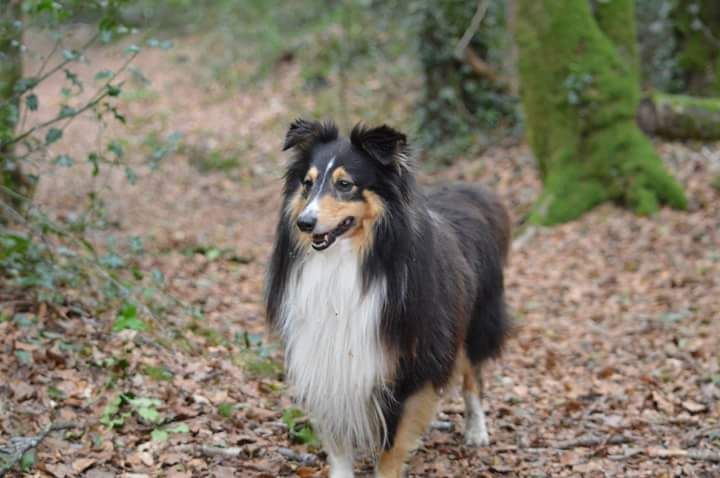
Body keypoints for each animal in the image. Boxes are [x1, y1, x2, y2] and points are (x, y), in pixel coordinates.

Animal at [265, 119, 510, 478]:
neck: (347, 262)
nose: (304, 223)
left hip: (473, 326)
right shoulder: (326, 361)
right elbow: (339, 443)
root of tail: (467, 195)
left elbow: (392, 446)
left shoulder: (410, 367)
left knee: (473, 377)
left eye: (345, 185)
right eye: (307, 184)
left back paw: (476, 431)